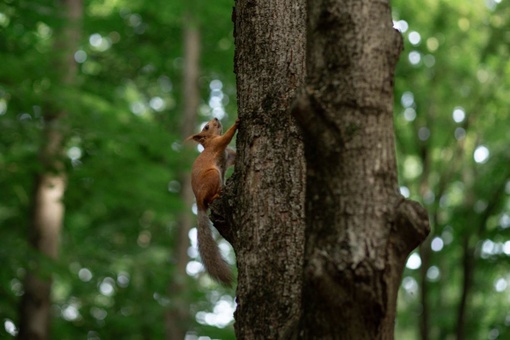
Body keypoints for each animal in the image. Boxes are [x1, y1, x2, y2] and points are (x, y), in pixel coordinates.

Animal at [187, 117, 239, 284]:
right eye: (206, 127)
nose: (216, 118)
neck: (209, 141)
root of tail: (198, 203)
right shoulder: (218, 143)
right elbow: (227, 136)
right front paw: (237, 122)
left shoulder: (229, 154)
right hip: (213, 175)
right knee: (208, 199)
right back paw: (216, 195)